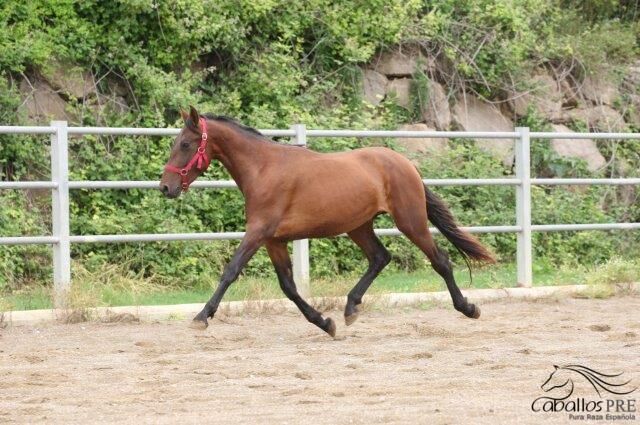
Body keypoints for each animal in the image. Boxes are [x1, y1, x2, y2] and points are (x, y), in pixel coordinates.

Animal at [160, 105, 496, 334]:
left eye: (186, 144)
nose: (165, 187)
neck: (263, 169)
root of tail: (406, 163)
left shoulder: (258, 233)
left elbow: (230, 271)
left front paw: (201, 317)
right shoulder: (274, 241)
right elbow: (289, 287)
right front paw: (325, 322)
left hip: (410, 221)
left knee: (440, 260)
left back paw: (468, 308)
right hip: (359, 226)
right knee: (380, 257)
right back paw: (350, 308)